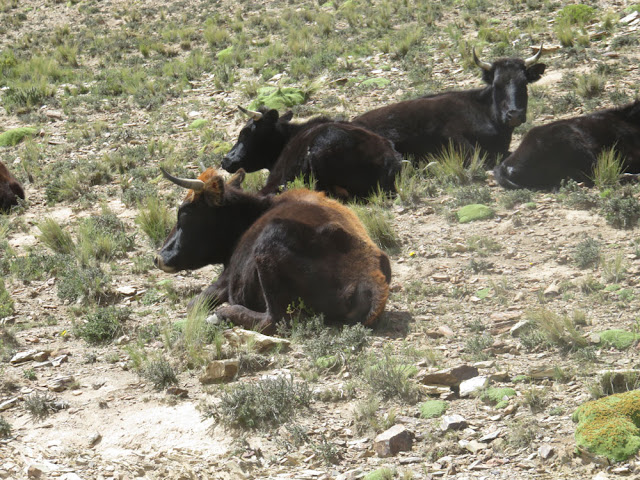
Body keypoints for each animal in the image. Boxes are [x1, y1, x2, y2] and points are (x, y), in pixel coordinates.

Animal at [155, 168, 390, 334]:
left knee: (273, 320)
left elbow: (194, 303)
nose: (158, 258)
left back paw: (223, 313)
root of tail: (371, 279)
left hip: (268, 248)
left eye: (184, 214)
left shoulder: (226, 278)